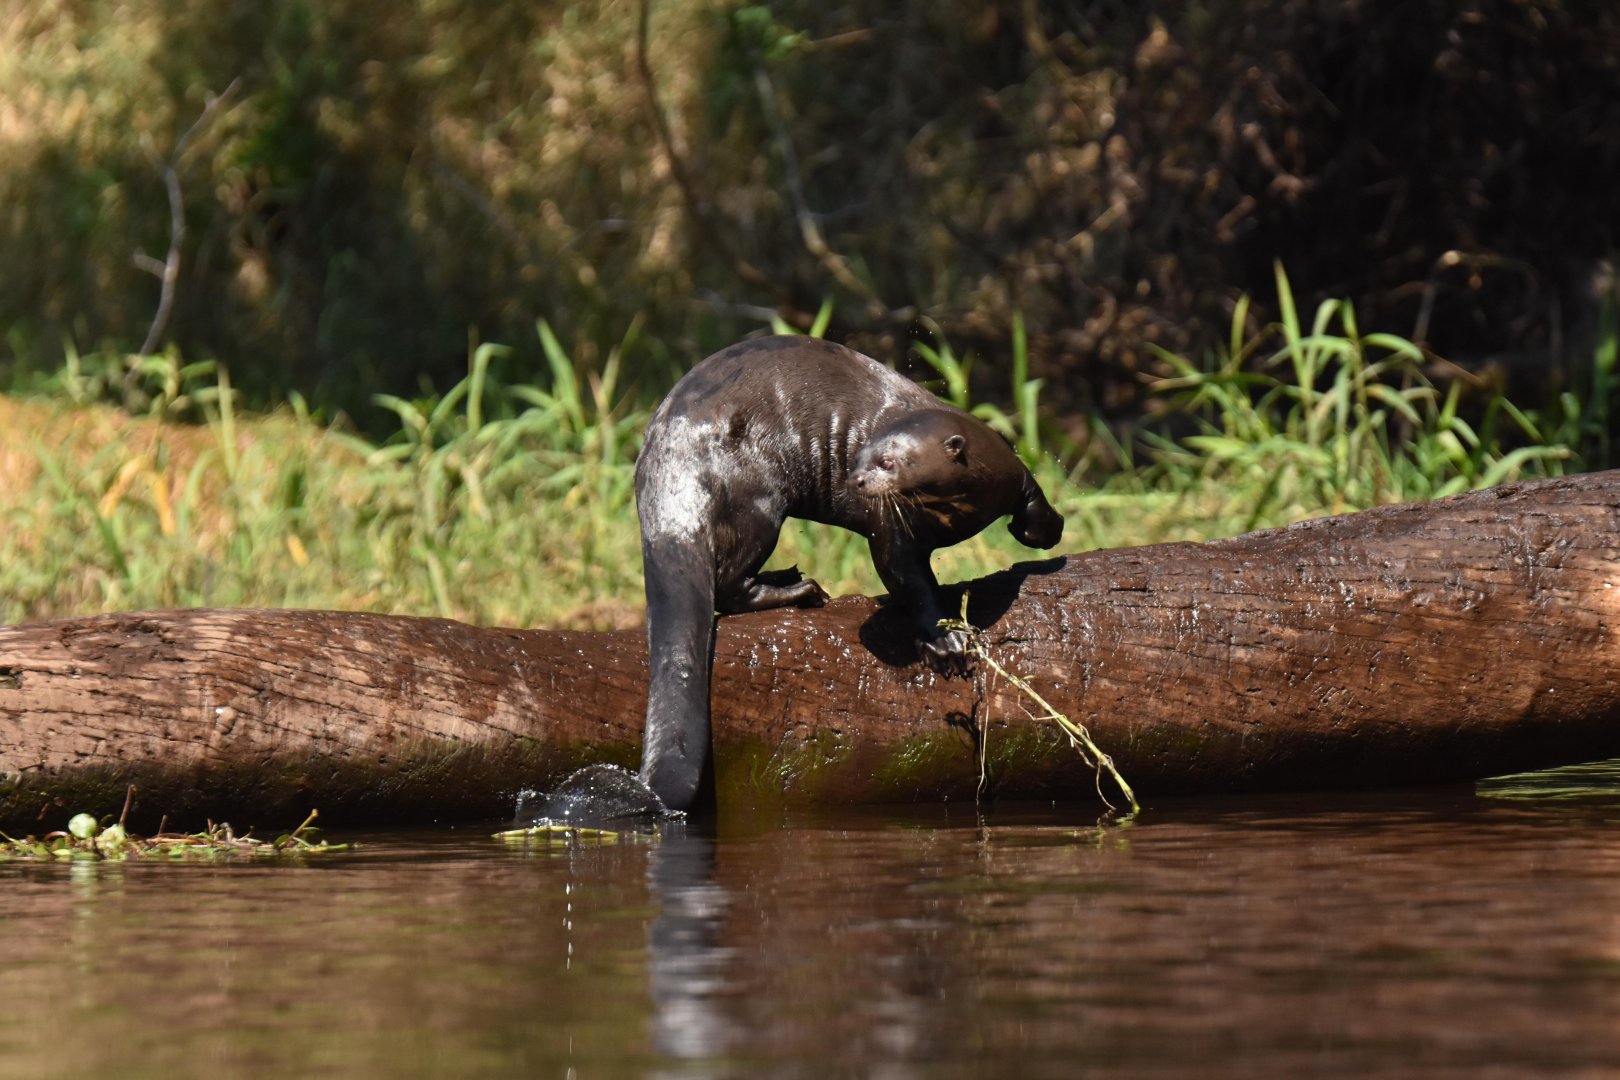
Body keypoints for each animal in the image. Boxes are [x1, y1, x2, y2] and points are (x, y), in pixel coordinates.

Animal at [635, 336, 1064, 811]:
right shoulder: (891, 530)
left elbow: (1033, 496)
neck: (958, 509)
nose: (855, 480)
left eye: (889, 461)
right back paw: (802, 590)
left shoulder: (1006, 465)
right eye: (858, 458)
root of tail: (670, 459)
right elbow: (908, 580)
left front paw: (1044, 531)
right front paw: (946, 642)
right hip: (758, 502)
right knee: (728, 586)